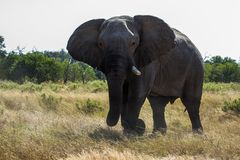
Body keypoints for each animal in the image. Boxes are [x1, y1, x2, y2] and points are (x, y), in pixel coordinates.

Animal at [66, 15, 203, 135]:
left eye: (133, 43)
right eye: (100, 44)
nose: (141, 125)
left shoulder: (148, 57)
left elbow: (138, 92)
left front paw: (130, 133)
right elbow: (123, 93)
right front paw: (130, 130)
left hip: (195, 66)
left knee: (191, 103)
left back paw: (197, 135)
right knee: (157, 104)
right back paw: (157, 134)